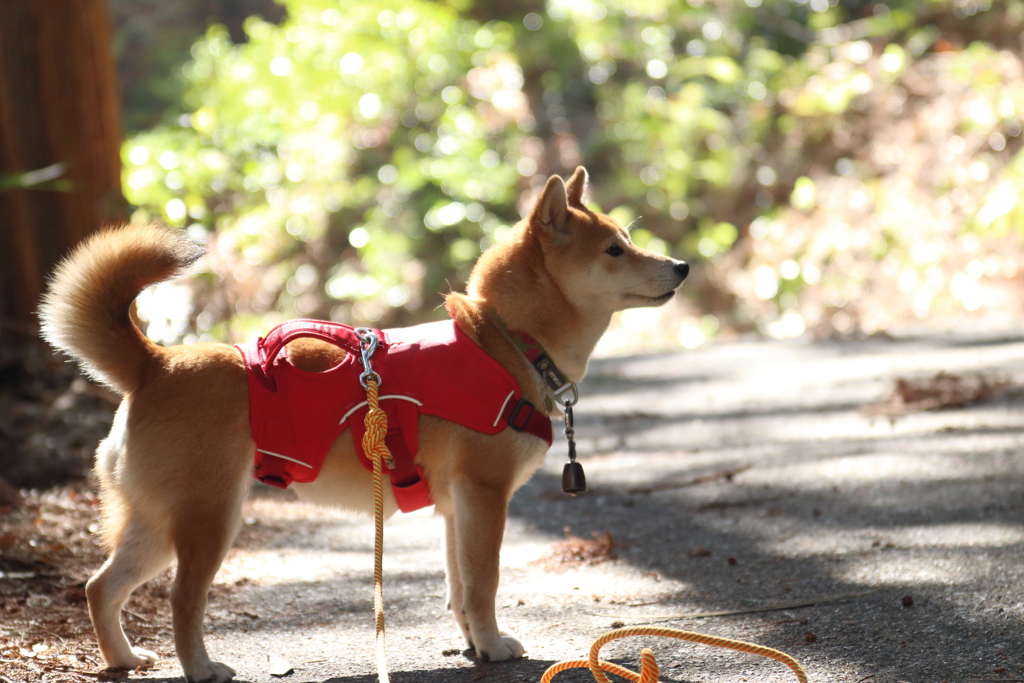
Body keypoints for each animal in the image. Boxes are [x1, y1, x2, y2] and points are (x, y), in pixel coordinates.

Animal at [39, 166, 688, 683]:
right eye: (614, 250)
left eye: (628, 241)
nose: (682, 264)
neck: (504, 342)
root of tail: (154, 363)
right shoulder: (485, 497)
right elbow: (484, 584)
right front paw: (494, 646)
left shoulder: (458, 508)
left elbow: (459, 588)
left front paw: (474, 645)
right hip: (207, 521)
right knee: (180, 600)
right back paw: (199, 668)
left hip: (153, 524)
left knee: (101, 588)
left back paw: (123, 659)